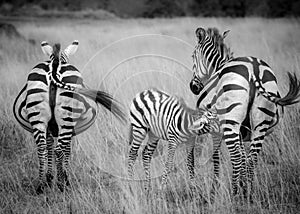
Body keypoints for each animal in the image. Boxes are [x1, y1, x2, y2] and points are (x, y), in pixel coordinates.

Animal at [12, 40, 125, 194]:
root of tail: (55, 66)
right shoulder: (70, 129)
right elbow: (67, 150)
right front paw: (62, 178)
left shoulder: (49, 128)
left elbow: (49, 145)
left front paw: (49, 179)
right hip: (68, 118)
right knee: (59, 150)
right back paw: (62, 184)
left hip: (38, 115)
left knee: (41, 148)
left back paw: (41, 186)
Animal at [189, 27, 300, 201]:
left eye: (193, 56)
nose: (193, 87)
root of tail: (254, 68)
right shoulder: (242, 132)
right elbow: (243, 156)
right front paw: (242, 186)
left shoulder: (218, 129)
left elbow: (217, 157)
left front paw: (216, 189)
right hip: (260, 125)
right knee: (252, 158)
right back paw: (249, 194)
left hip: (231, 123)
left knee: (236, 156)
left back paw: (235, 194)